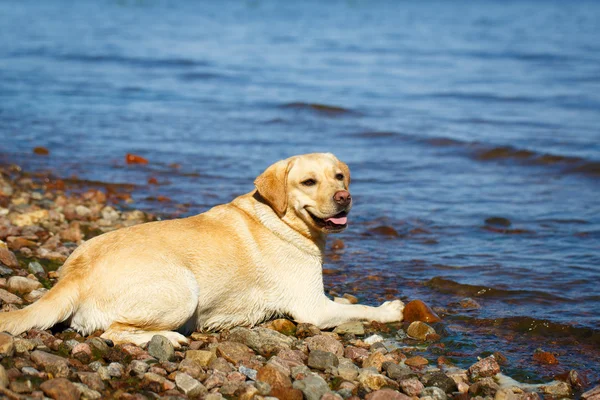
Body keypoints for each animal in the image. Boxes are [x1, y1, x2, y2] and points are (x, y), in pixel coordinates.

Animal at [0, 153, 406, 346]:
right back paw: (169, 338)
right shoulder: (314, 308)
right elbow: (358, 308)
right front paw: (389, 310)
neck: (281, 218)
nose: (344, 197)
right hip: (183, 289)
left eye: (339, 176)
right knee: (113, 332)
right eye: (309, 181)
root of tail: (75, 275)